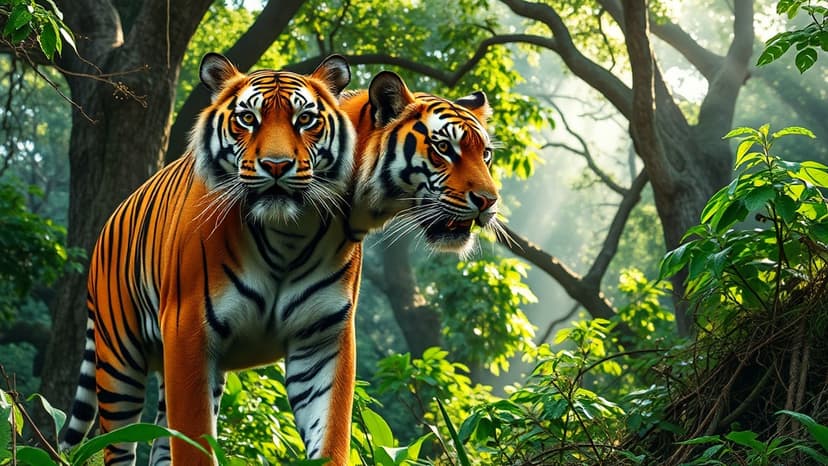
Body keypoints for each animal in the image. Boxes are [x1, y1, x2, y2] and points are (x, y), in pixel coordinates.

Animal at [60, 53, 360, 466]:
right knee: (118, 445)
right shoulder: (188, 331)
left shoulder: (323, 338)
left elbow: (329, 436)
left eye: (305, 119)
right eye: (248, 118)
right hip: (119, 362)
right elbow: (193, 443)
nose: (277, 165)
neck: (286, 236)